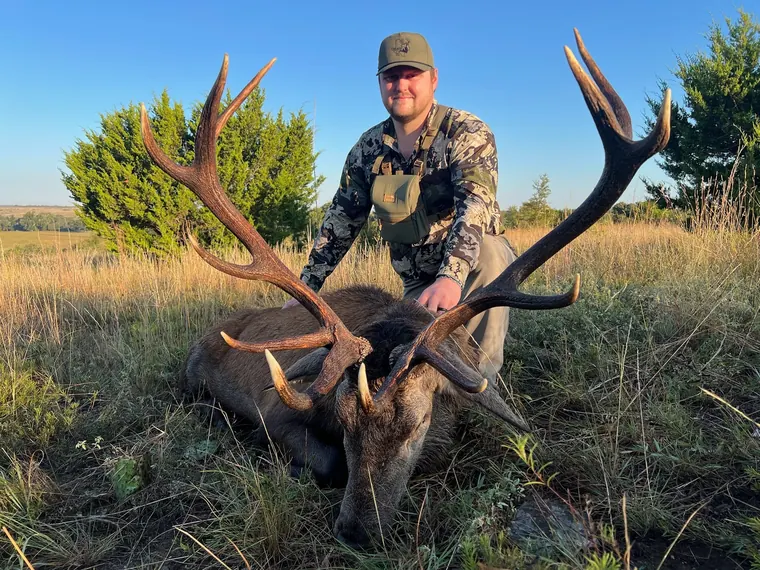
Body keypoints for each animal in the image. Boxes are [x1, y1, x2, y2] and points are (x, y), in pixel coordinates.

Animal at [139, 29, 670, 549]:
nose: (356, 532)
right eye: (343, 420)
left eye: (418, 424)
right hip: (192, 379)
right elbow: (326, 460)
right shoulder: (276, 408)